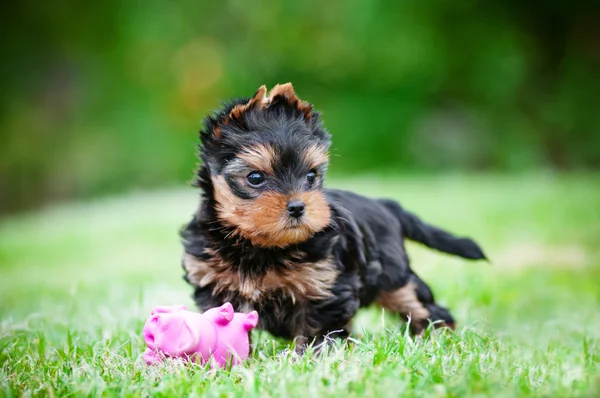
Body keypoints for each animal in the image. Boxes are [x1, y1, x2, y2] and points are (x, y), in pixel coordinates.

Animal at [180, 83, 486, 348]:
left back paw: (437, 336)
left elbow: (316, 328)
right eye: (255, 178)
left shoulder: (324, 286)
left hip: (392, 275)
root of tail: (386, 205)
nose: (298, 207)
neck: (259, 246)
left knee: (418, 301)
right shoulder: (213, 283)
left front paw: (310, 357)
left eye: (311, 176)